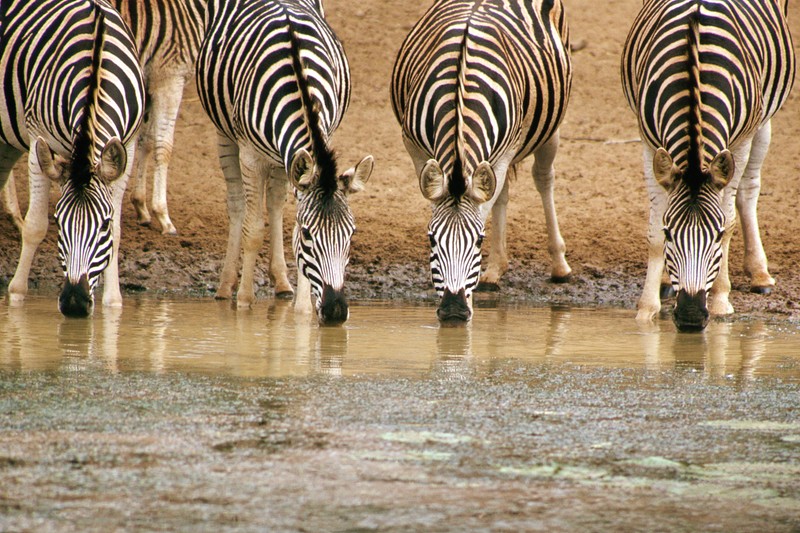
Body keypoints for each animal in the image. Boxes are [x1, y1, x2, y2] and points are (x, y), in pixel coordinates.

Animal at [1, 0, 145, 316]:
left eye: (103, 225)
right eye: (58, 221)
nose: (75, 303)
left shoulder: (129, 145)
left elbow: (119, 230)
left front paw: (113, 302)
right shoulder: (37, 138)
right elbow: (34, 226)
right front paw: (16, 295)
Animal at [194, 0, 372, 324]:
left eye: (351, 234)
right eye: (308, 234)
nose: (335, 311)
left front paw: (302, 311)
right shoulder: (251, 156)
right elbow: (253, 230)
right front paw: (244, 302)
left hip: (282, 160)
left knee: (275, 203)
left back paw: (281, 283)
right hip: (225, 133)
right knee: (237, 204)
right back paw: (226, 287)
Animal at [390, 0, 572, 322]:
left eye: (478, 240)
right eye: (431, 240)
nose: (453, 311)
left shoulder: (508, 147)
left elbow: (484, 210)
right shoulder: (414, 146)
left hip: (549, 126)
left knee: (543, 178)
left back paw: (559, 265)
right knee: (501, 192)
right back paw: (494, 271)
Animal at [620, 0, 796, 330]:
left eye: (714, 235)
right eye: (669, 233)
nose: (690, 317)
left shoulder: (739, 143)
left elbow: (730, 220)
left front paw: (720, 299)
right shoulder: (648, 141)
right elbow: (652, 233)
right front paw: (647, 309)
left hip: (763, 117)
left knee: (747, 190)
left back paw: (759, 273)